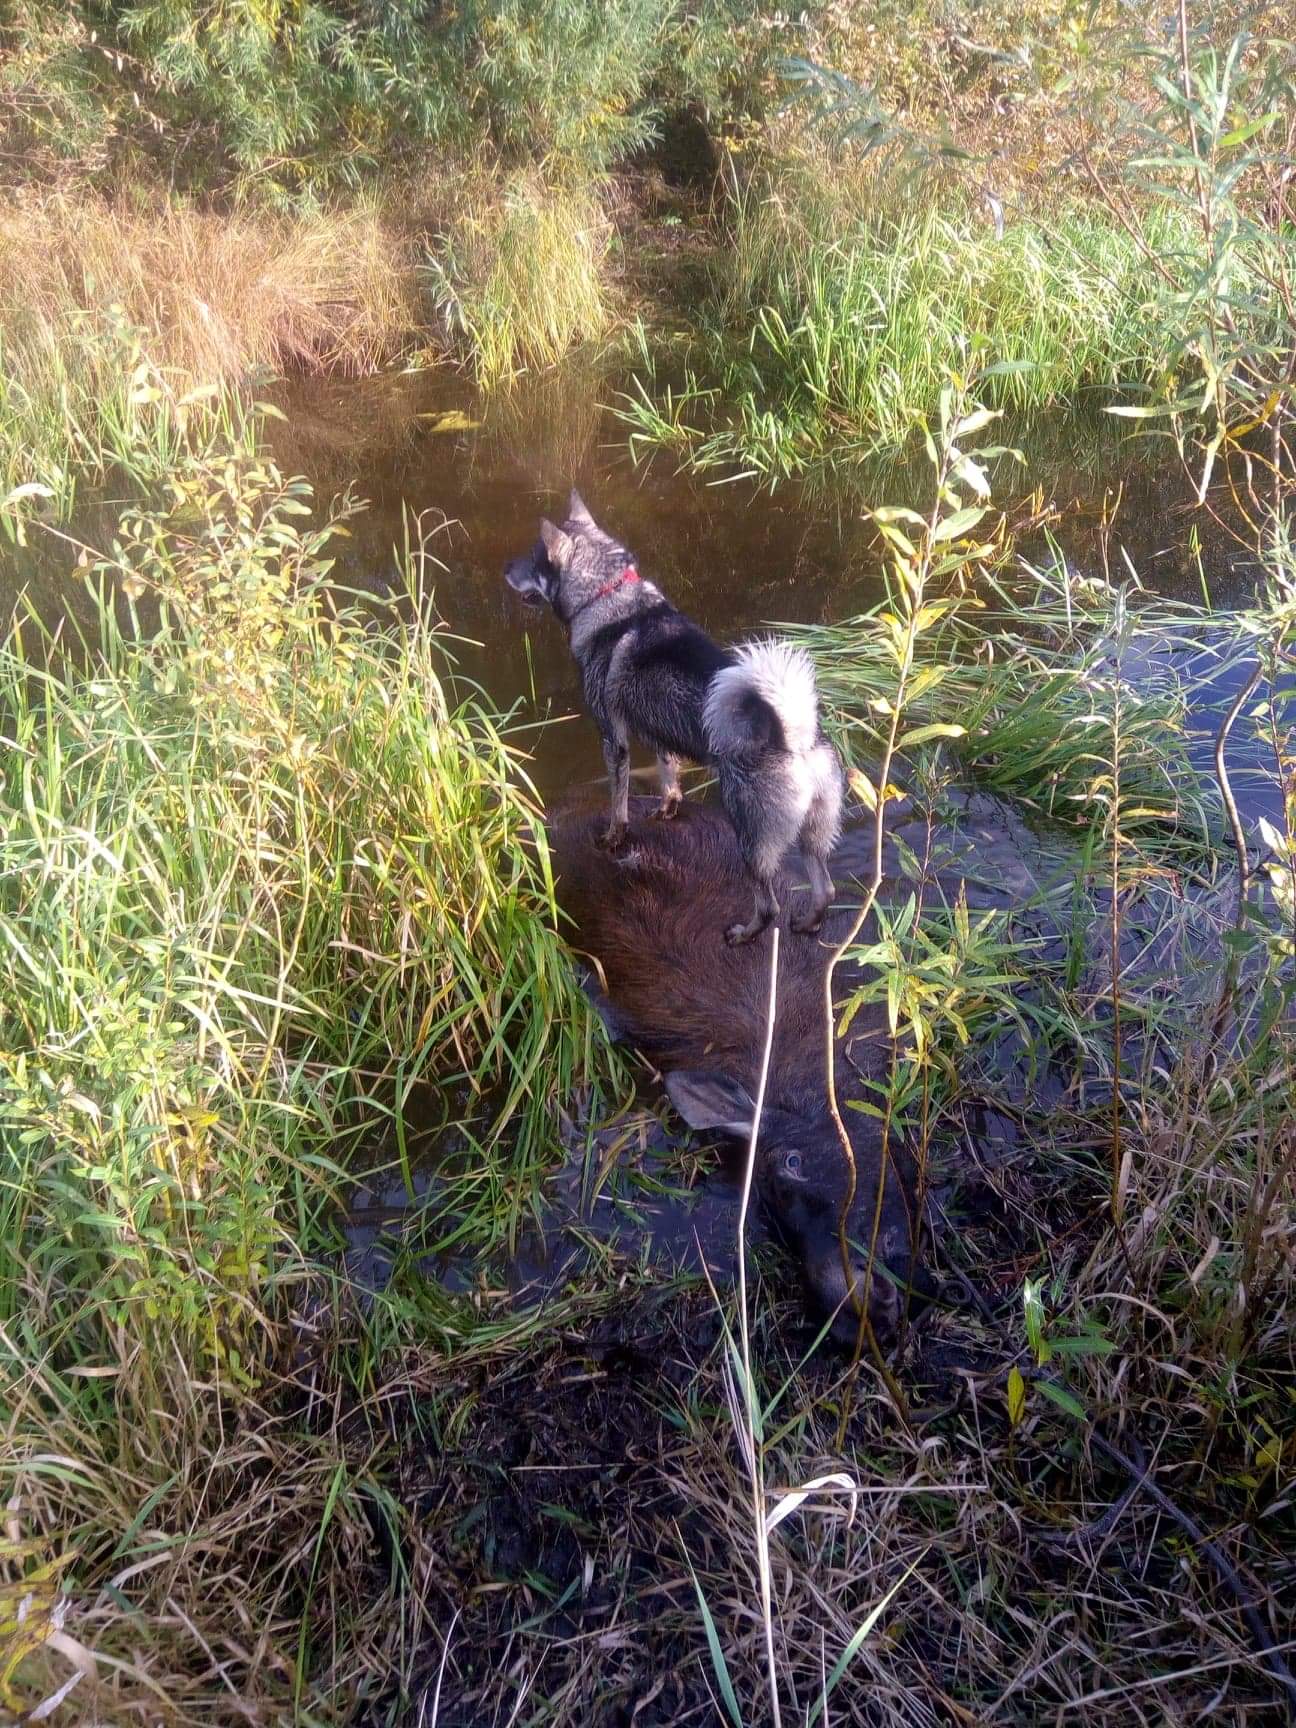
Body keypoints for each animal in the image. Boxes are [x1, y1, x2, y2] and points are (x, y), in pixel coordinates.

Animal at [503, 490, 844, 944]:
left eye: (533, 557)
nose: (505, 569)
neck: (608, 595)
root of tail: (793, 736)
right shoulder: (659, 736)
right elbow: (669, 778)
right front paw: (668, 809)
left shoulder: (614, 737)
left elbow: (618, 802)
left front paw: (613, 838)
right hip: (811, 836)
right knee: (825, 889)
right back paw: (807, 923)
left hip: (750, 837)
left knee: (769, 905)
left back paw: (744, 933)